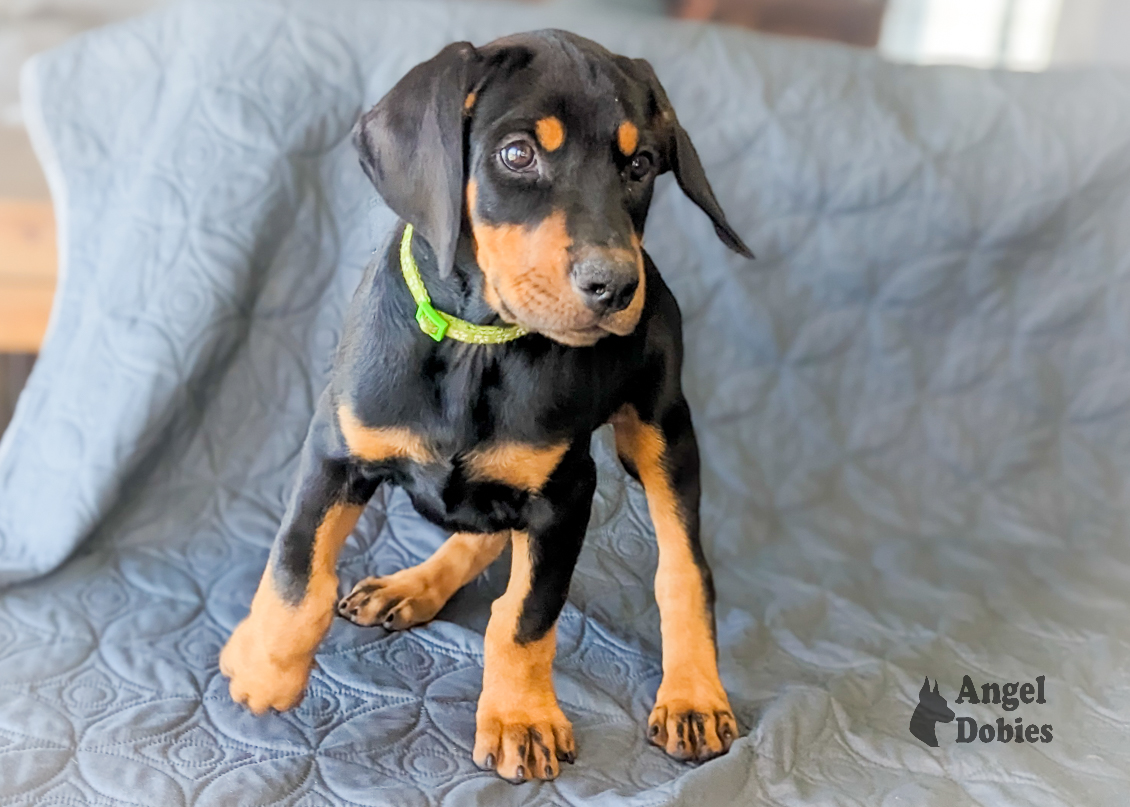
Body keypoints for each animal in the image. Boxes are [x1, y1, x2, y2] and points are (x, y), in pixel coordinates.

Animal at [218, 29, 750, 777]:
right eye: (518, 153)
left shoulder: (564, 495)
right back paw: (412, 585)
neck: (479, 342)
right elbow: (297, 566)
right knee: (482, 529)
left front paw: (521, 717)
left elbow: (525, 618)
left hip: (661, 428)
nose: (617, 287)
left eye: (641, 163)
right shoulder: (336, 446)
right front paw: (264, 667)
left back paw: (693, 694)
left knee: (683, 566)